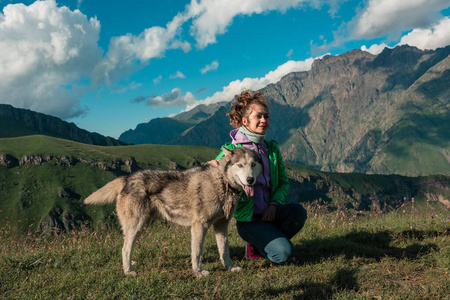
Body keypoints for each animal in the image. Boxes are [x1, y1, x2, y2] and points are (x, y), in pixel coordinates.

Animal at [84, 146, 262, 278]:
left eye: (253, 165)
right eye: (240, 165)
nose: (250, 180)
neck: (222, 182)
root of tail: (127, 178)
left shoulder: (221, 226)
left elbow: (225, 251)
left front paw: (230, 268)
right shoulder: (199, 226)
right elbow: (197, 253)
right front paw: (198, 273)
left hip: (141, 226)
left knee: (127, 245)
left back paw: (130, 264)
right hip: (137, 225)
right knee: (124, 248)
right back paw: (128, 271)